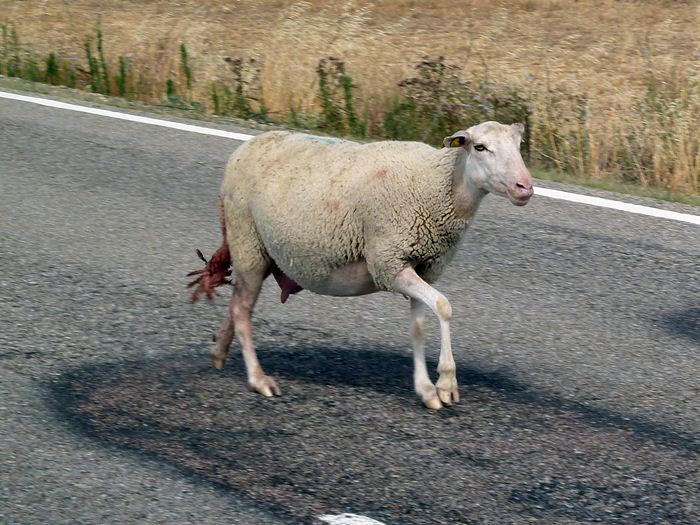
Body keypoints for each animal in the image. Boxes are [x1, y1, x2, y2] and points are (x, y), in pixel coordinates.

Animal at [188, 121, 533, 409]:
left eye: (518, 146)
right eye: (480, 147)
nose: (525, 187)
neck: (440, 186)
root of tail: (247, 146)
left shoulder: (421, 266)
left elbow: (419, 327)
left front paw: (426, 389)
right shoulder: (389, 263)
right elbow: (444, 306)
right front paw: (447, 382)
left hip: (253, 247)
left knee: (237, 302)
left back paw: (220, 350)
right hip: (248, 238)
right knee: (242, 310)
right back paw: (258, 379)